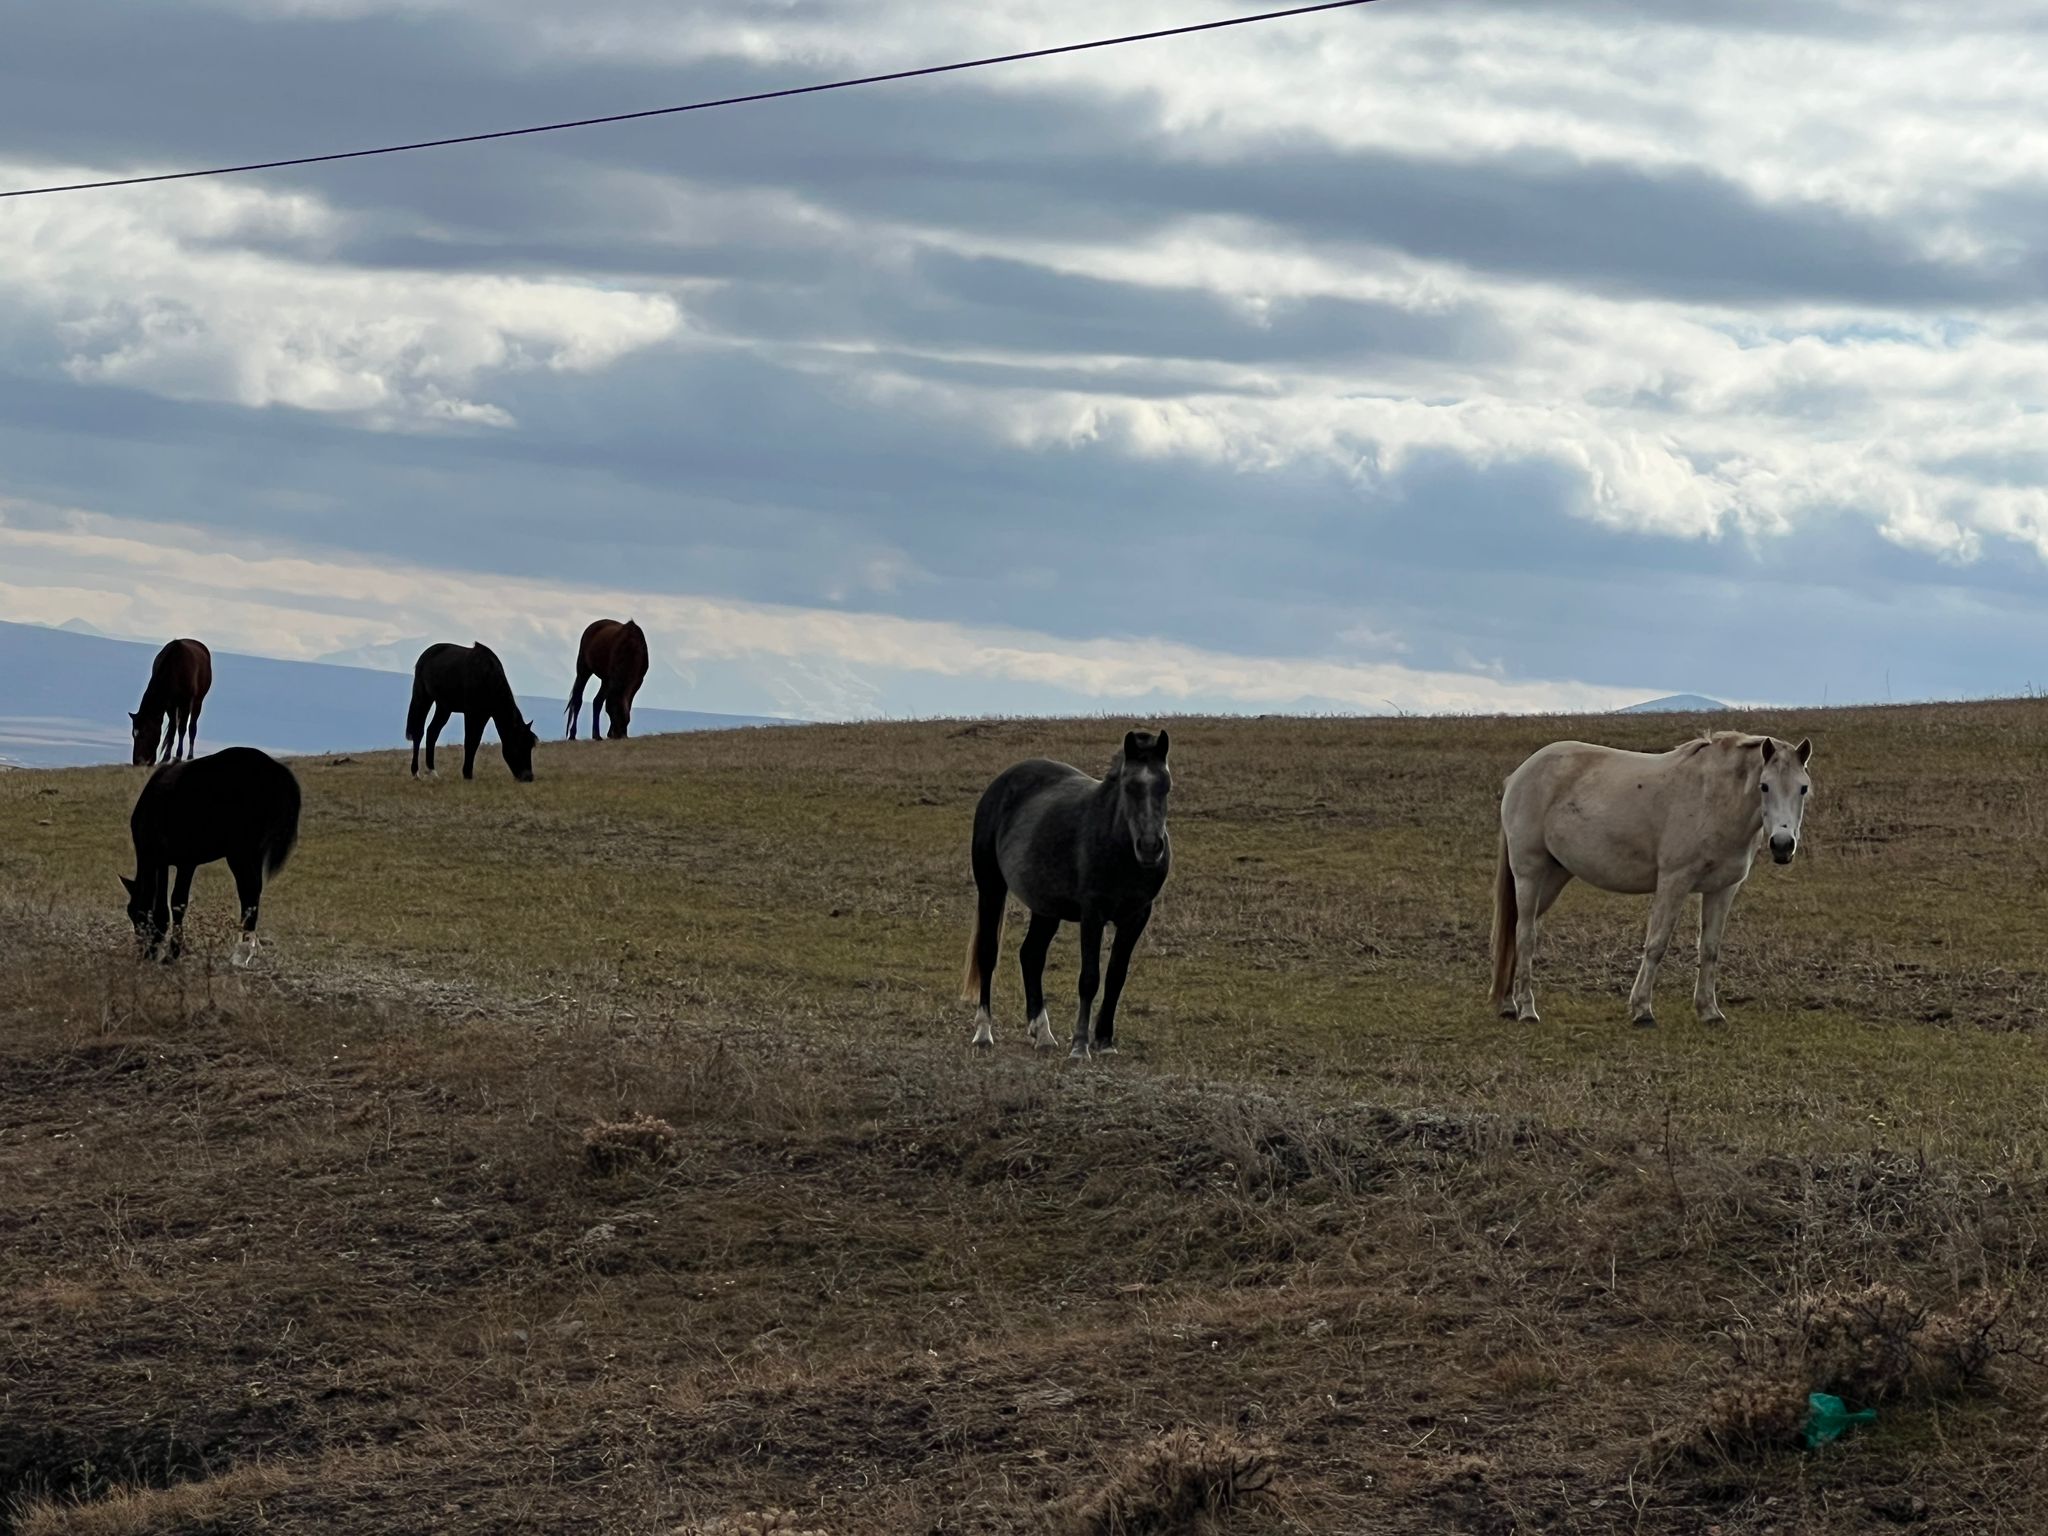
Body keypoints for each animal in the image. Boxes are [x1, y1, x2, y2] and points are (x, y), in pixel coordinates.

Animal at [123, 741, 299, 962]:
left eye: (135, 914)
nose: (144, 952)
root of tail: (275, 768)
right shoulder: (173, 862)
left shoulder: (175, 861)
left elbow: (172, 904)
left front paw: (172, 954)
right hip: (251, 853)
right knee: (251, 893)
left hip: (240, 852)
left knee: (248, 889)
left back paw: (242, 952)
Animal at [131, 634, 212, 765]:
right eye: (134, 735)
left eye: (145, 733)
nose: (137, 761)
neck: (174, 668)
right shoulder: (170, 705)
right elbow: (172, 729)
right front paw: (166, 757)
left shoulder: (185, 702)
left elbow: (182, 729)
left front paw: (178, 755)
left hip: (198, 701)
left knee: (192, 727)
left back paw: (190, 756)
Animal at [403, 643, 536, 782]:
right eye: (519, 744)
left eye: (530, 746)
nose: (528, 776)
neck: (487, 676)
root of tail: (426, 655)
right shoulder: (471, 714)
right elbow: (470, 741)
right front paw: (467, 774)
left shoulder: (483, 715)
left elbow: (475, 742)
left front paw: (468, 773)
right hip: (423, 698)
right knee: (418, 733)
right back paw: (415, 772)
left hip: (444, 707)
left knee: (432, 732)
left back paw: (432, 772)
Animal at [958, 729, 1171, 1056]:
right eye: (1130, 786)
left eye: (1166, 786)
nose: (1150, 847)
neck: (1119, 848)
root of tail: (1001, 783)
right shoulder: (1092, 914)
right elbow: (1090, 978)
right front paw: (1080, 1045)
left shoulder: (1137, 916)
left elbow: (1116, 976)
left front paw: (1105, 1041)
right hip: (991, 888)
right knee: (988, 954)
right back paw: (984, 1031)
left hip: (1045, 908)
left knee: (1031, 955)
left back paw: (1043, 1033)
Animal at [1499, 737, 1818, 1036]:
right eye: (1764, 786)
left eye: (1803, 788)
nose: (1782, 845)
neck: (1714, 799)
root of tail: (1519, 774)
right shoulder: (1673, 881)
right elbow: (1656, 945)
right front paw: (1642, 1010)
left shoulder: (1723, 889)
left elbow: (1710, 949)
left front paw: (1709, 1011)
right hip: (1529, 874)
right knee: (1525, 935)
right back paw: (1526, 1009)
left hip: (1553, 877)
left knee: (1514, 931)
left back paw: (1507, 1003)